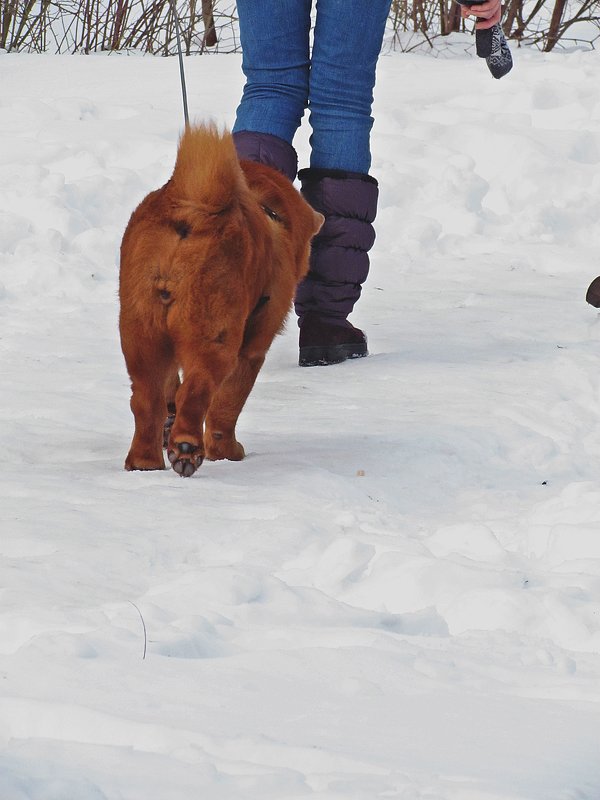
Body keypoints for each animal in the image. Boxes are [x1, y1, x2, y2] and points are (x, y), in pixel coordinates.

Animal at [118, 124, 324, 476]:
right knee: (195, 392)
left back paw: (145, 462)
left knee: (147, 400)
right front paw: (226, 451)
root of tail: (193, 209)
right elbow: (226, 407)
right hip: (215, 336)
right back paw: (186, 449)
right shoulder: (252, 350)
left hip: (142, 333)